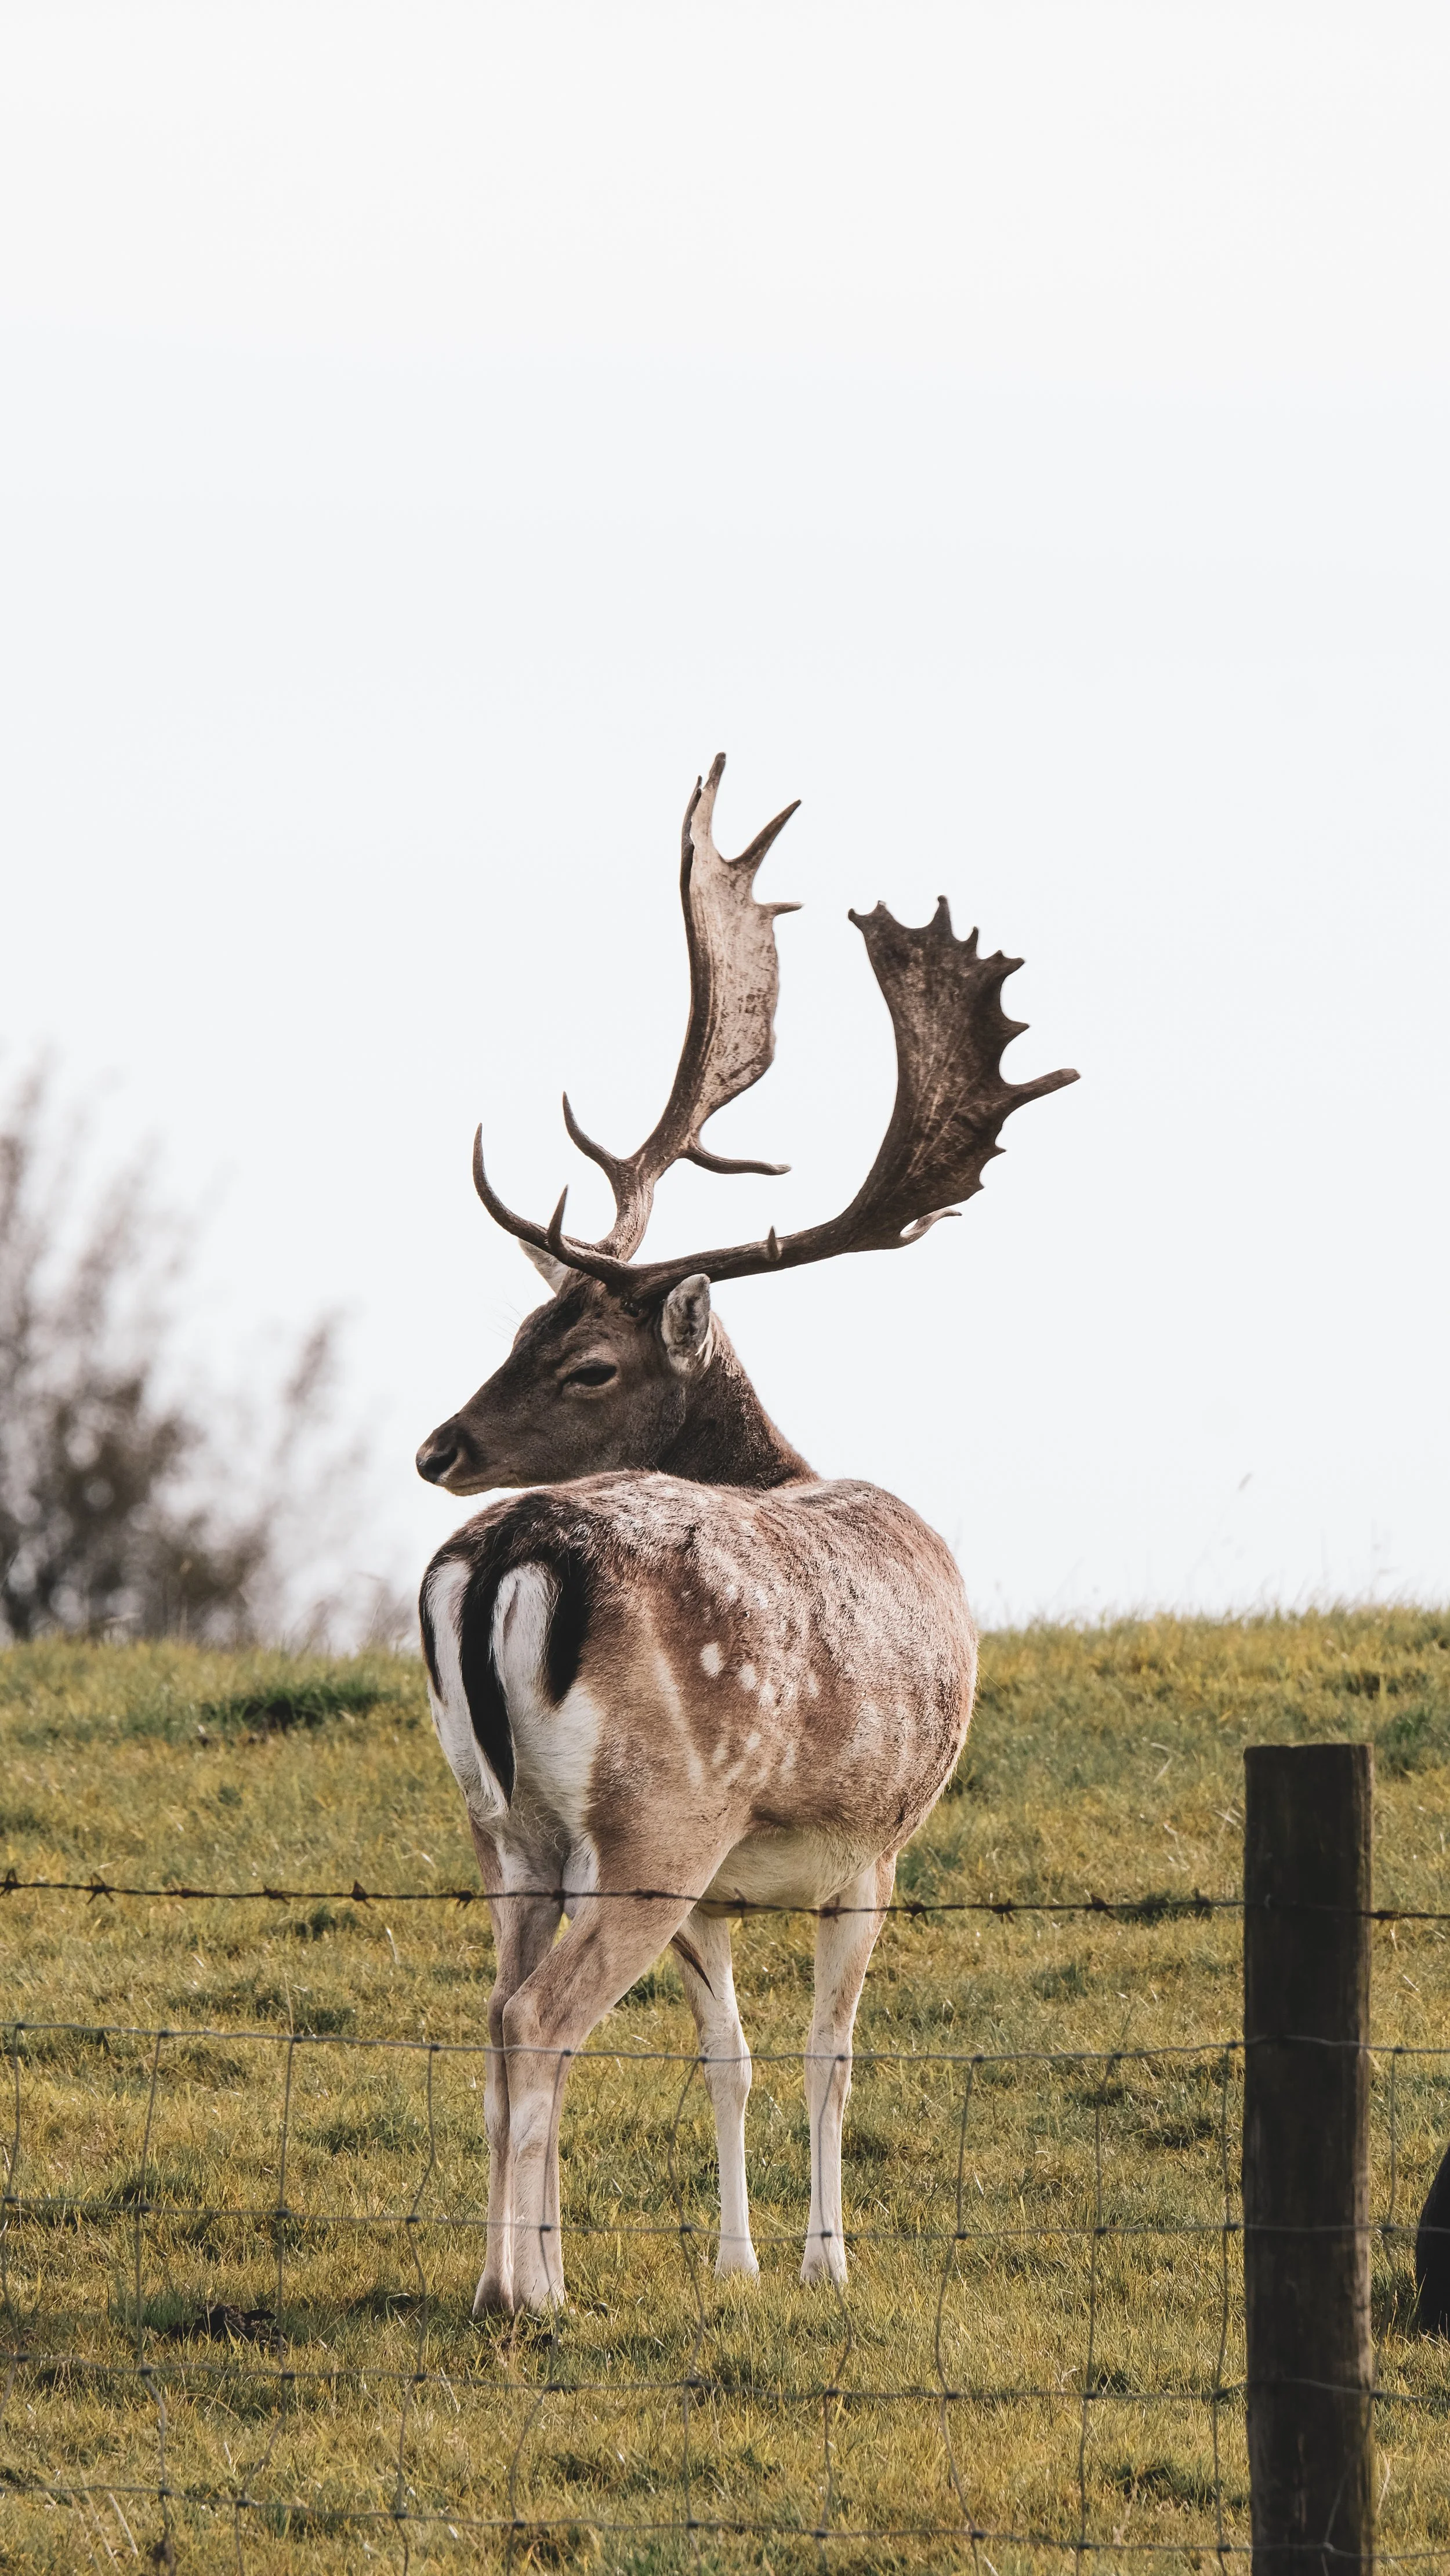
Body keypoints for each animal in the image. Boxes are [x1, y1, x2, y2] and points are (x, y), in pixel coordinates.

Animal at [416, 755, 1076, 2315]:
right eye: (531, 1328)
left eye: (576, 1353)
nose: (438, 1447)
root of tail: (501, 1560)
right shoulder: (875, 1844)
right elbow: (830, 2056)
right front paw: (827, 2260)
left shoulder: (722, 1889)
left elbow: (730, 2055)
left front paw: (739, 2260)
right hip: (658, 1809)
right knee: (540, 2014)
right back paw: (524, 2295)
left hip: (509, 1824)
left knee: (492, 2000)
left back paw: (506, 2272)